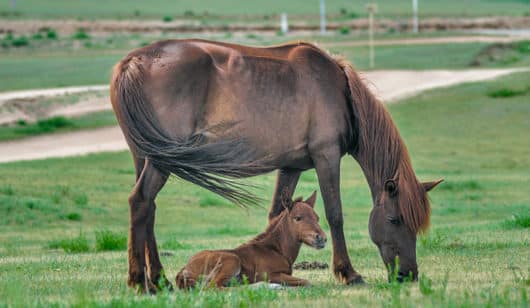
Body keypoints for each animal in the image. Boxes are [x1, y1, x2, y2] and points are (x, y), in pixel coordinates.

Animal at [174, 191, 322, 290]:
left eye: (317, 218)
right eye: (298, 218)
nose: (321, 239)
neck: (276, 249)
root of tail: (184, 269)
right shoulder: (269, 274)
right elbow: (306, 282)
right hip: (232, 260)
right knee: (213, 288)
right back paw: (265, 286)